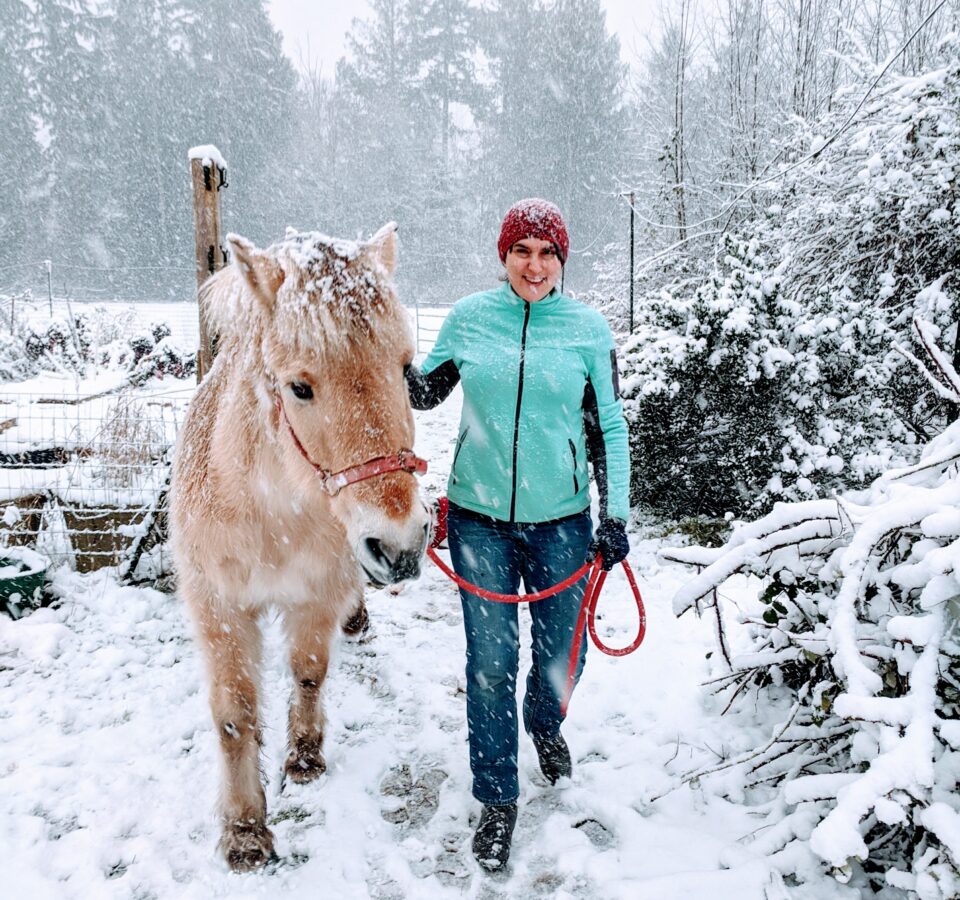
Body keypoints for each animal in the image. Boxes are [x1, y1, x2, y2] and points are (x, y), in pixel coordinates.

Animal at [169, 223, 429, 871]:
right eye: (299, 387)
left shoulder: (316, 591)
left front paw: (304, 756)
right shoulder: (218, 608)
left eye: (406, 368)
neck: (269, 514)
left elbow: (309, 672)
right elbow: (234, 713)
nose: (400, 546)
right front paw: (245, 829)